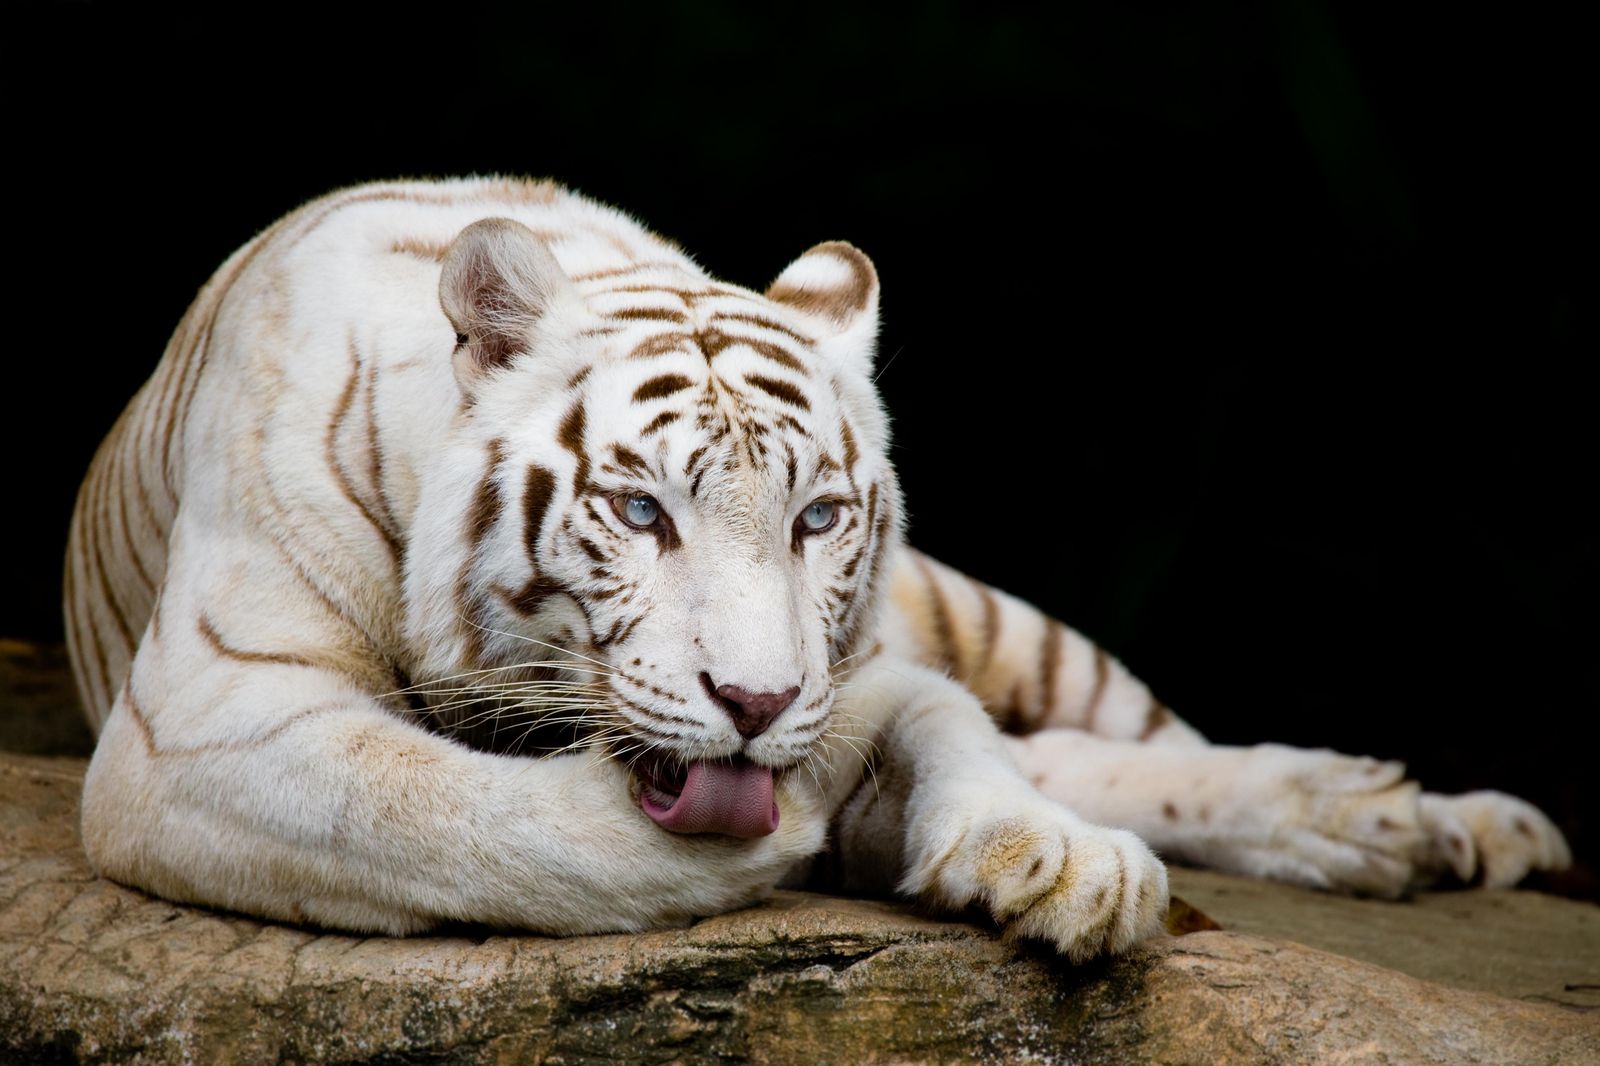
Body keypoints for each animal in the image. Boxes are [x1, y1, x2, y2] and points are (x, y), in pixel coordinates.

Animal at [64, 176, 1570, 960]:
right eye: (640, 510)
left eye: (817, 519)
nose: (754, 703)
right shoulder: (206, 722)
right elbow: (440, 810)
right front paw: (777, 838)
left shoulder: (871, 666)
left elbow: (956, 729)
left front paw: (1061, 862)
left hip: (991, 616)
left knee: (1131, 739)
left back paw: (1419, 820)